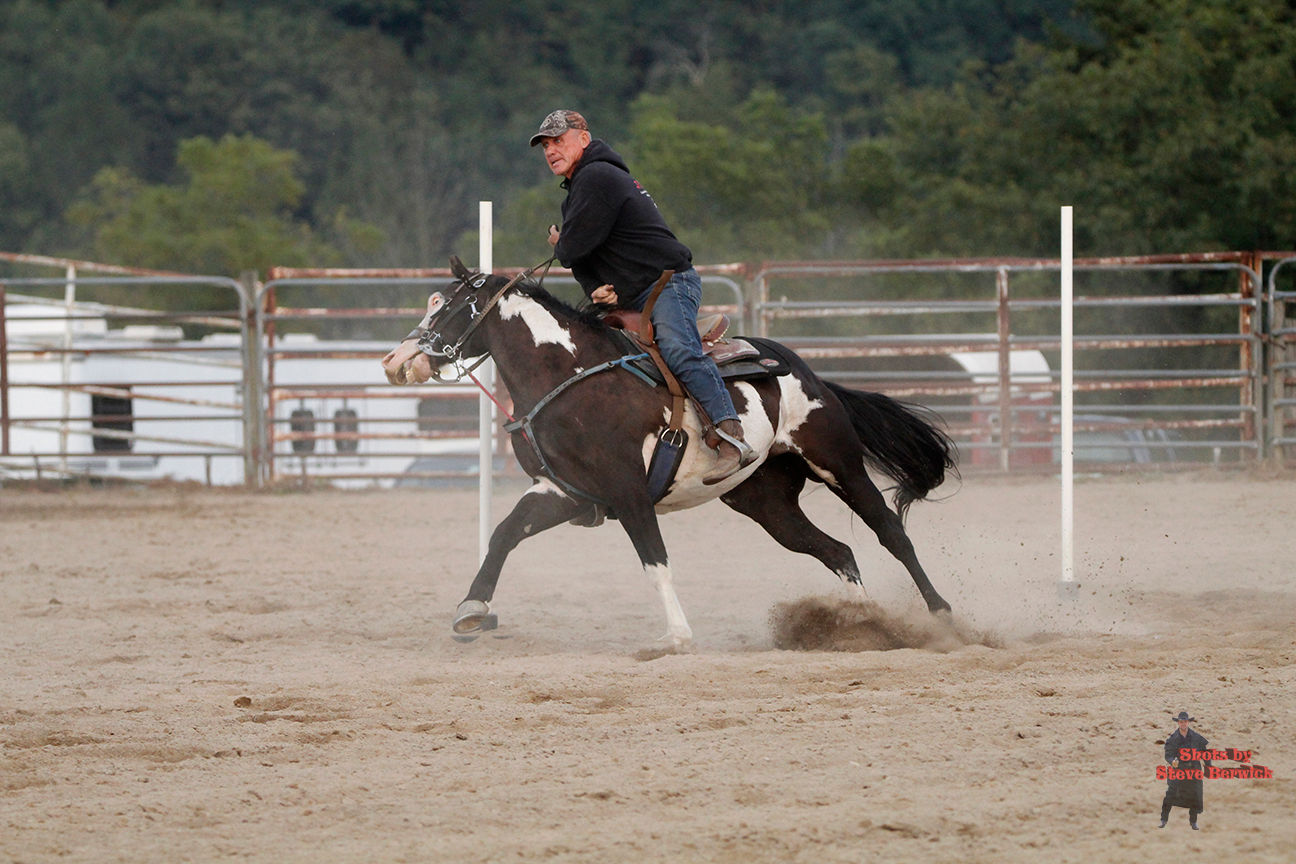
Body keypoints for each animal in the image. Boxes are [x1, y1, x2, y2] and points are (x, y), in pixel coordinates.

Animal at [382, 259, 957, 650]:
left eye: (446, 305)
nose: (396, 360)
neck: (570, 376)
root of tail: (809, 372)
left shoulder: (628, 490)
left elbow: (654, 560)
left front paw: (676, 636)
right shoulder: (563, 491)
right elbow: (503, 535)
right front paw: (471, 609)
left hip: (838, 463)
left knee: (890, 533)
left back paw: (941, 615)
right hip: (766, 502)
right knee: (837, 552)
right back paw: (866, 627)